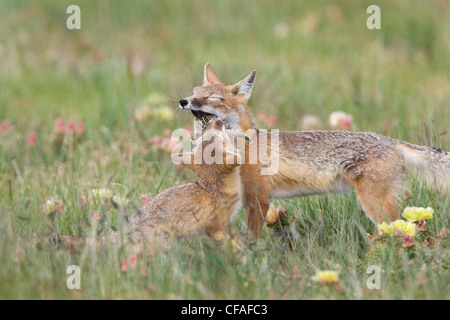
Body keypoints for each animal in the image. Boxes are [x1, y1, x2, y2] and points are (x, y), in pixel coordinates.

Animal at [57, 118, 246, 255]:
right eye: (215, 134)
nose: (217, 120)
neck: (211, 187)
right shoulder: (218, 229)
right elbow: (236, 249)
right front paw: (245, 260)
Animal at [179, 63, 450, 238]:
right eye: (194, 93)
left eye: (213, 99)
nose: (183, 101)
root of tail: (390, 140)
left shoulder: (259, 200)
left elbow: (251, 241)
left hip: (376, 205)